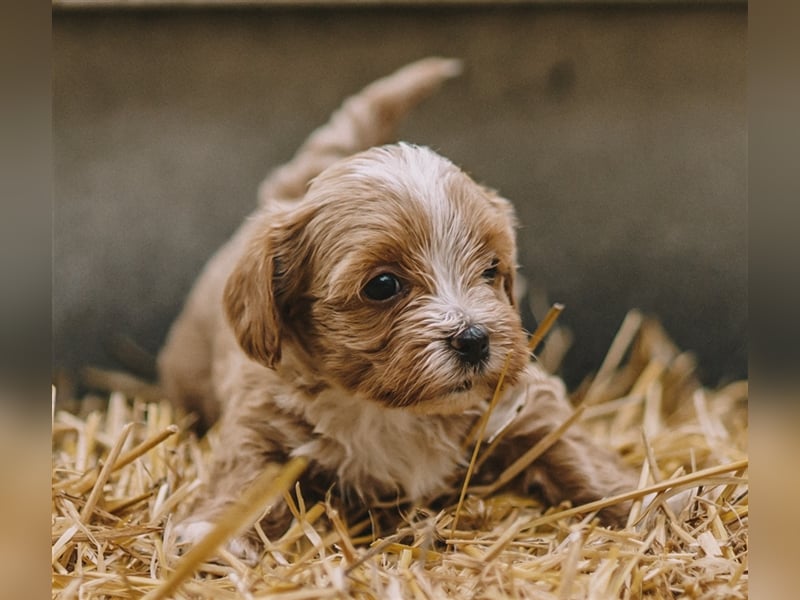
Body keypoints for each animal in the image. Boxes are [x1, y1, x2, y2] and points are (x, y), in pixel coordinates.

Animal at [161, 58, 636, 560]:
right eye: (383, 285)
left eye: (491, 269)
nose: (475, 339)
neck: (393, 410)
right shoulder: (263, 420)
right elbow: (248, 475)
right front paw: (215, 534)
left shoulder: (524, 404)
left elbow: (568, 447)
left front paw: (638, 500)